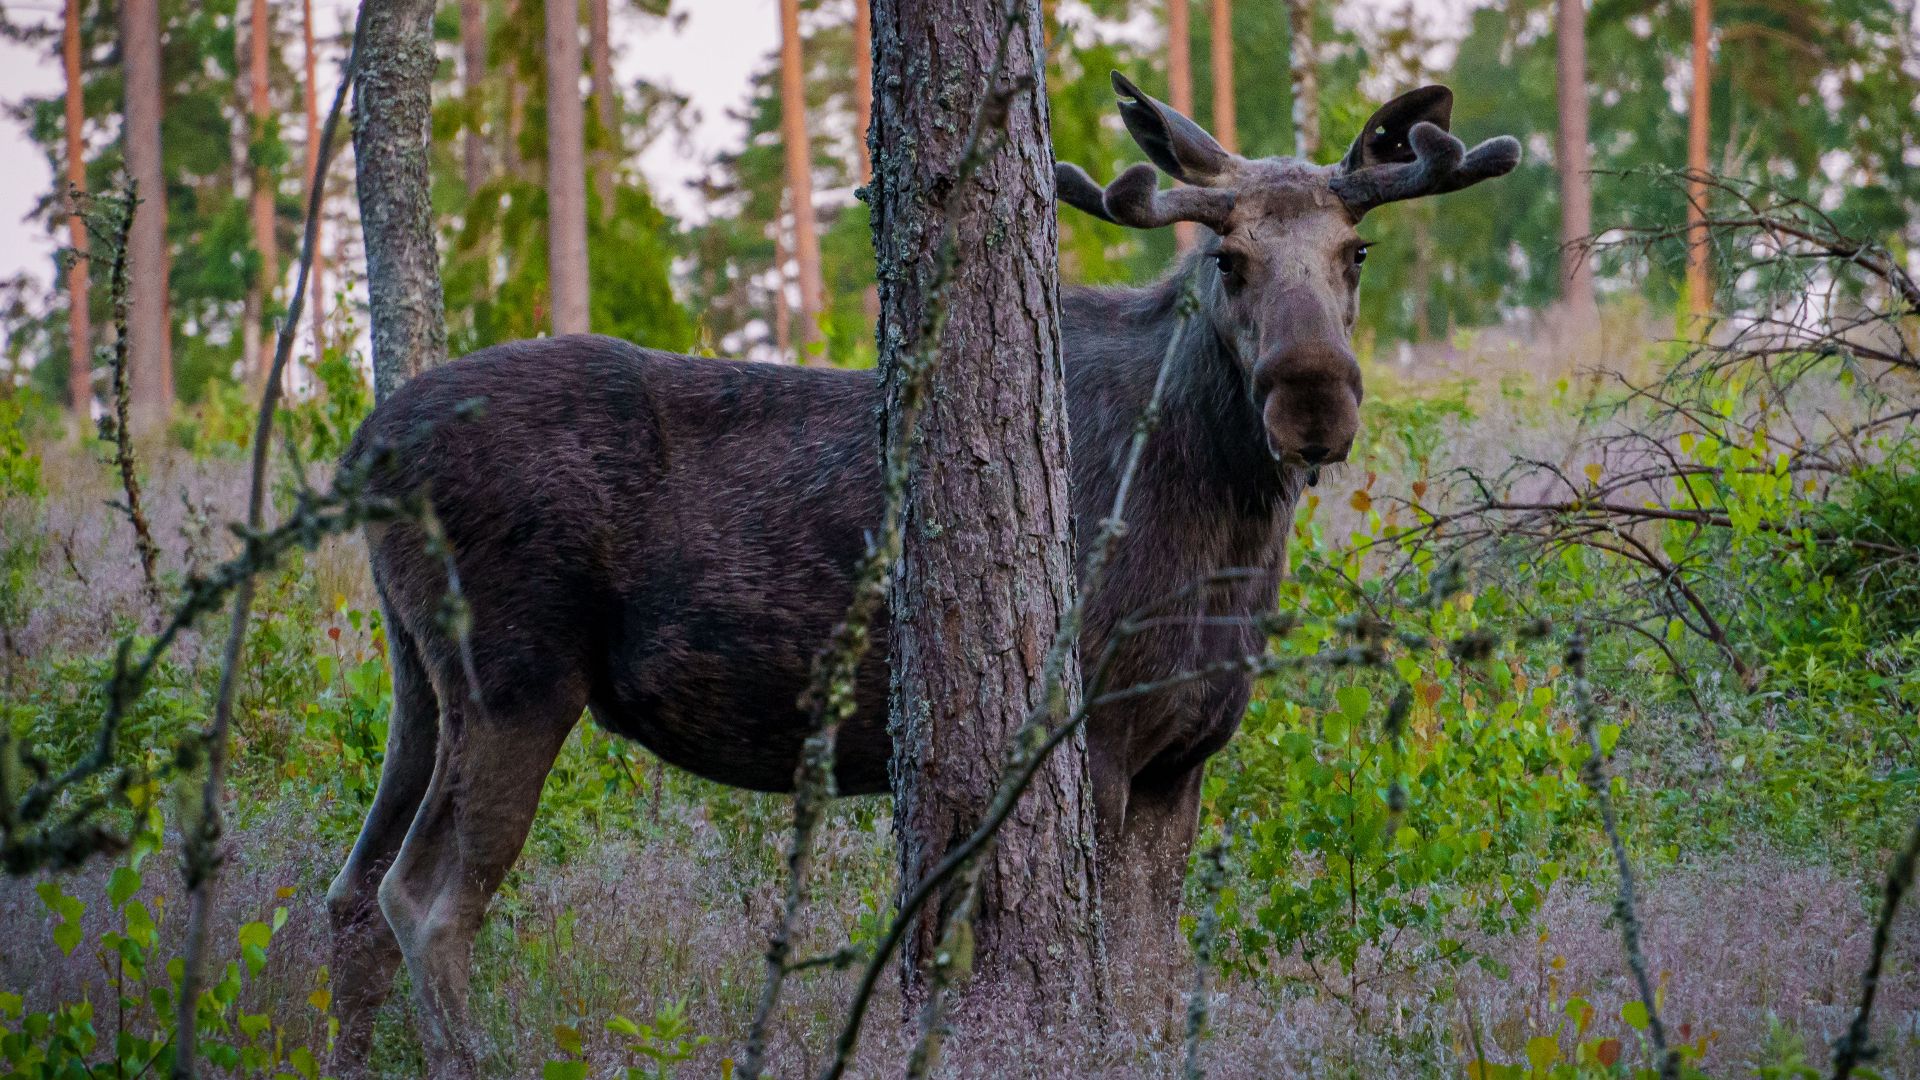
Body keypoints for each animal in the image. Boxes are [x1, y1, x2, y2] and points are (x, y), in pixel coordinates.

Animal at [324, 73, 1518, 1077]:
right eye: (1227, 260)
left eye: (1356, 252)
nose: (1313, 397)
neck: (1226, 540)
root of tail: (361, 448)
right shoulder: (1093, 730)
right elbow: (1109, 957)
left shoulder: (1185, 752)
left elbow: (1152, 969)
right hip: (515, 676)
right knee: (425, 901)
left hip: (420, 680)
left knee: (351, 896)